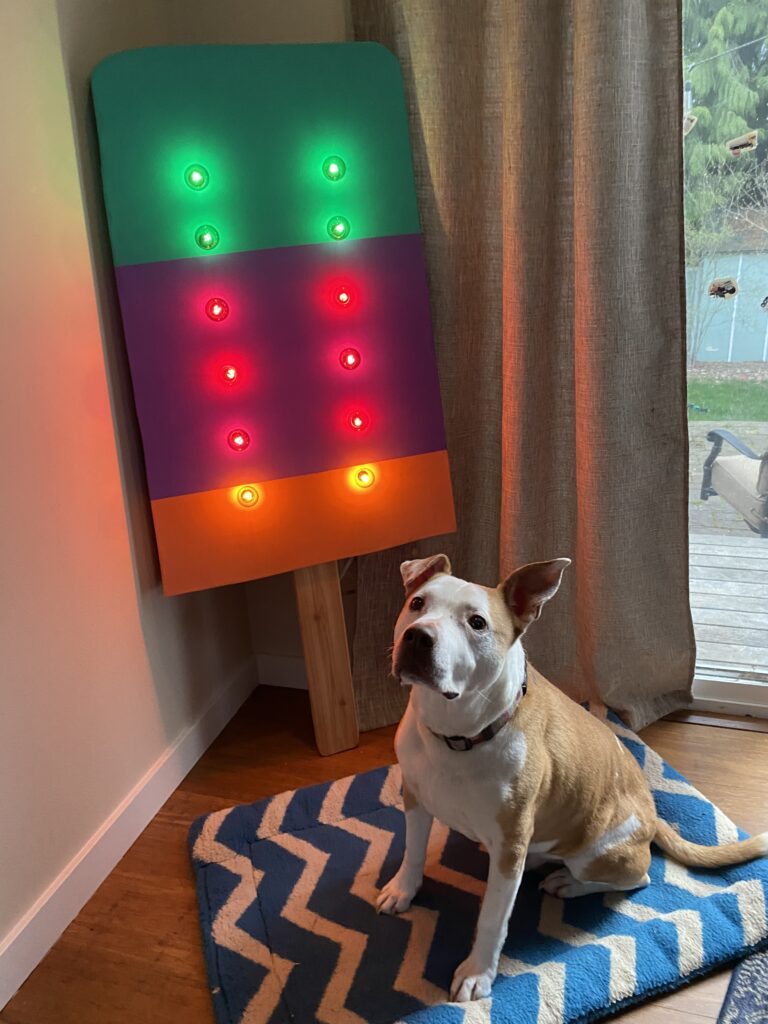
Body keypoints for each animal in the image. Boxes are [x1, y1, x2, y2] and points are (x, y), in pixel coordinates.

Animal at [381, 553, 768, 1002]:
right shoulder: (415, 799)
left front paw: (478, 973)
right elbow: (412, 852)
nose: (418, 637)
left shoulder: (510, 845)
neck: (457, 734)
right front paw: (403, 890)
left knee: (637, 877)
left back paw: (568, 883)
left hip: (598, 851)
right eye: (418, 603)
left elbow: (493, 919)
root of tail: (654, 816)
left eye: (477, 623)